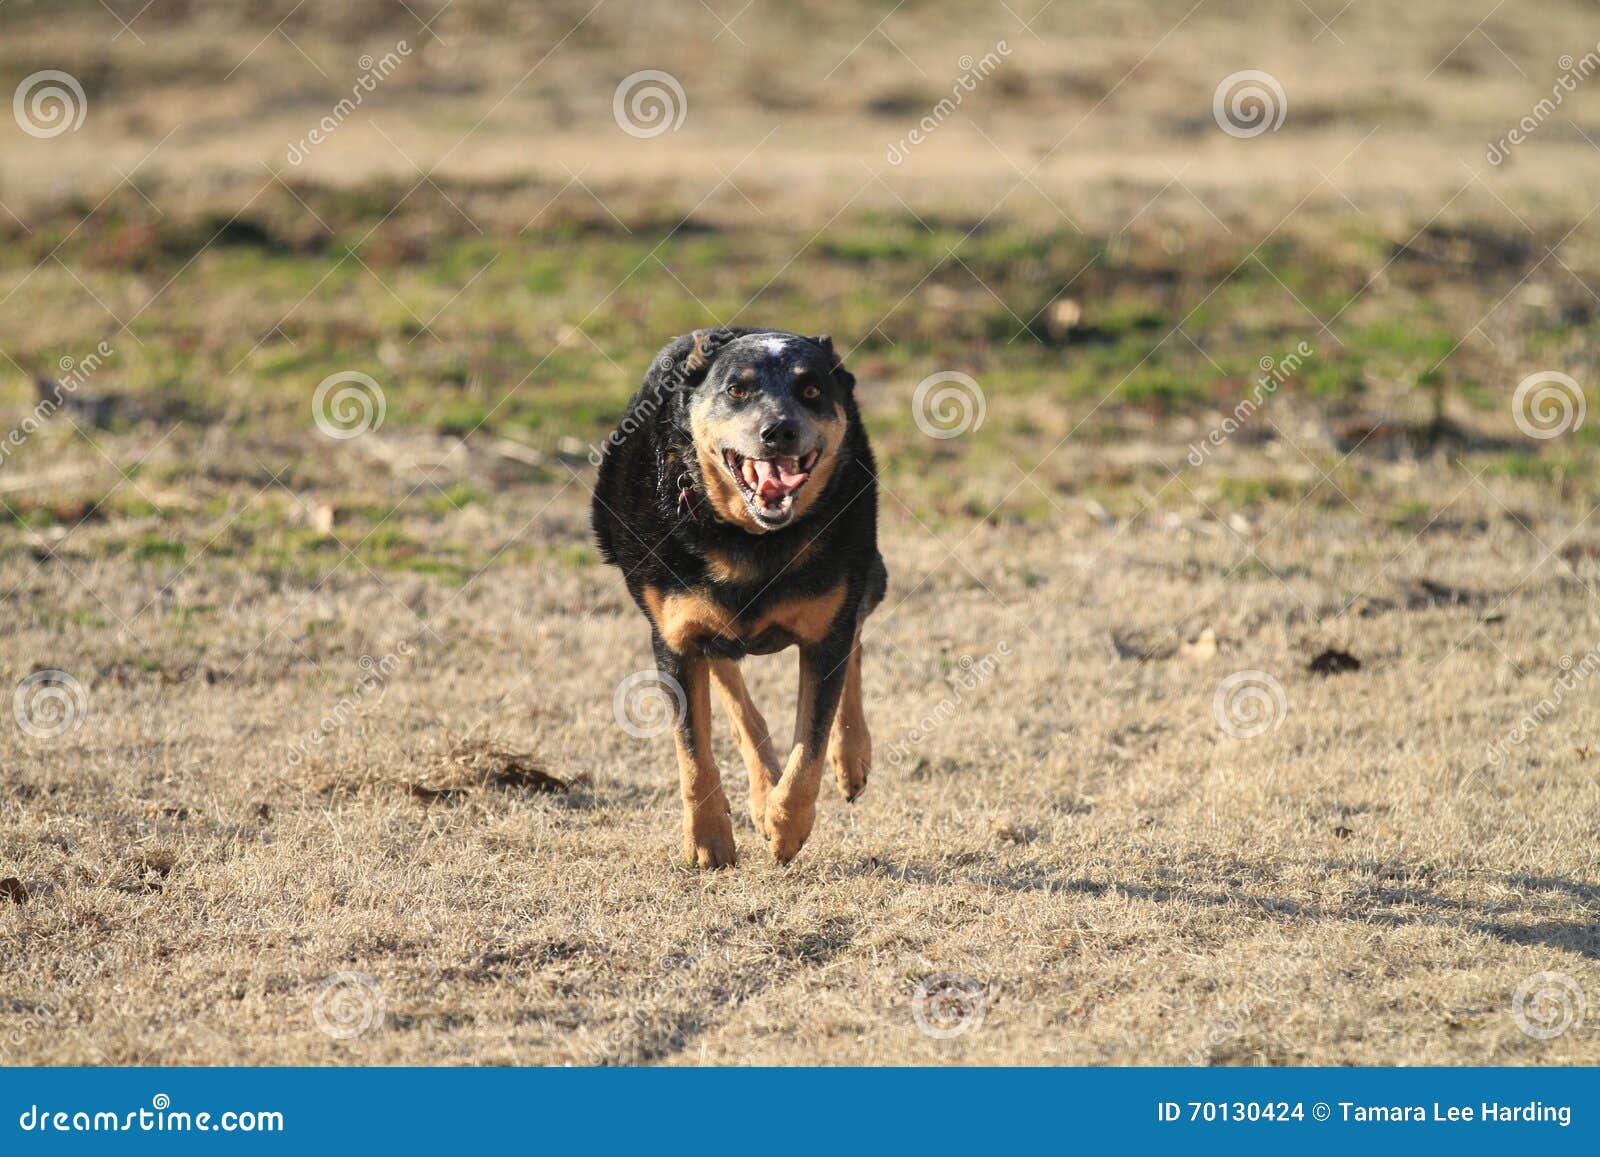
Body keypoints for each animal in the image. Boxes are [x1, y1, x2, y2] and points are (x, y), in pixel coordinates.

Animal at [595, 326, 889, 870]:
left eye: (811, 390)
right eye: (736, 389)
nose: (779, 431)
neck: (751, 540)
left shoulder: (826, 632)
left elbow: (810, 745)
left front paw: (786, 827)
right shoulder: (676, 637)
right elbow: (692, 750)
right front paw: (709, 839)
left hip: (866, 571)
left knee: (855, 632)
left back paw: (849, 756)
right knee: (729, 679)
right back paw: (760, 787)